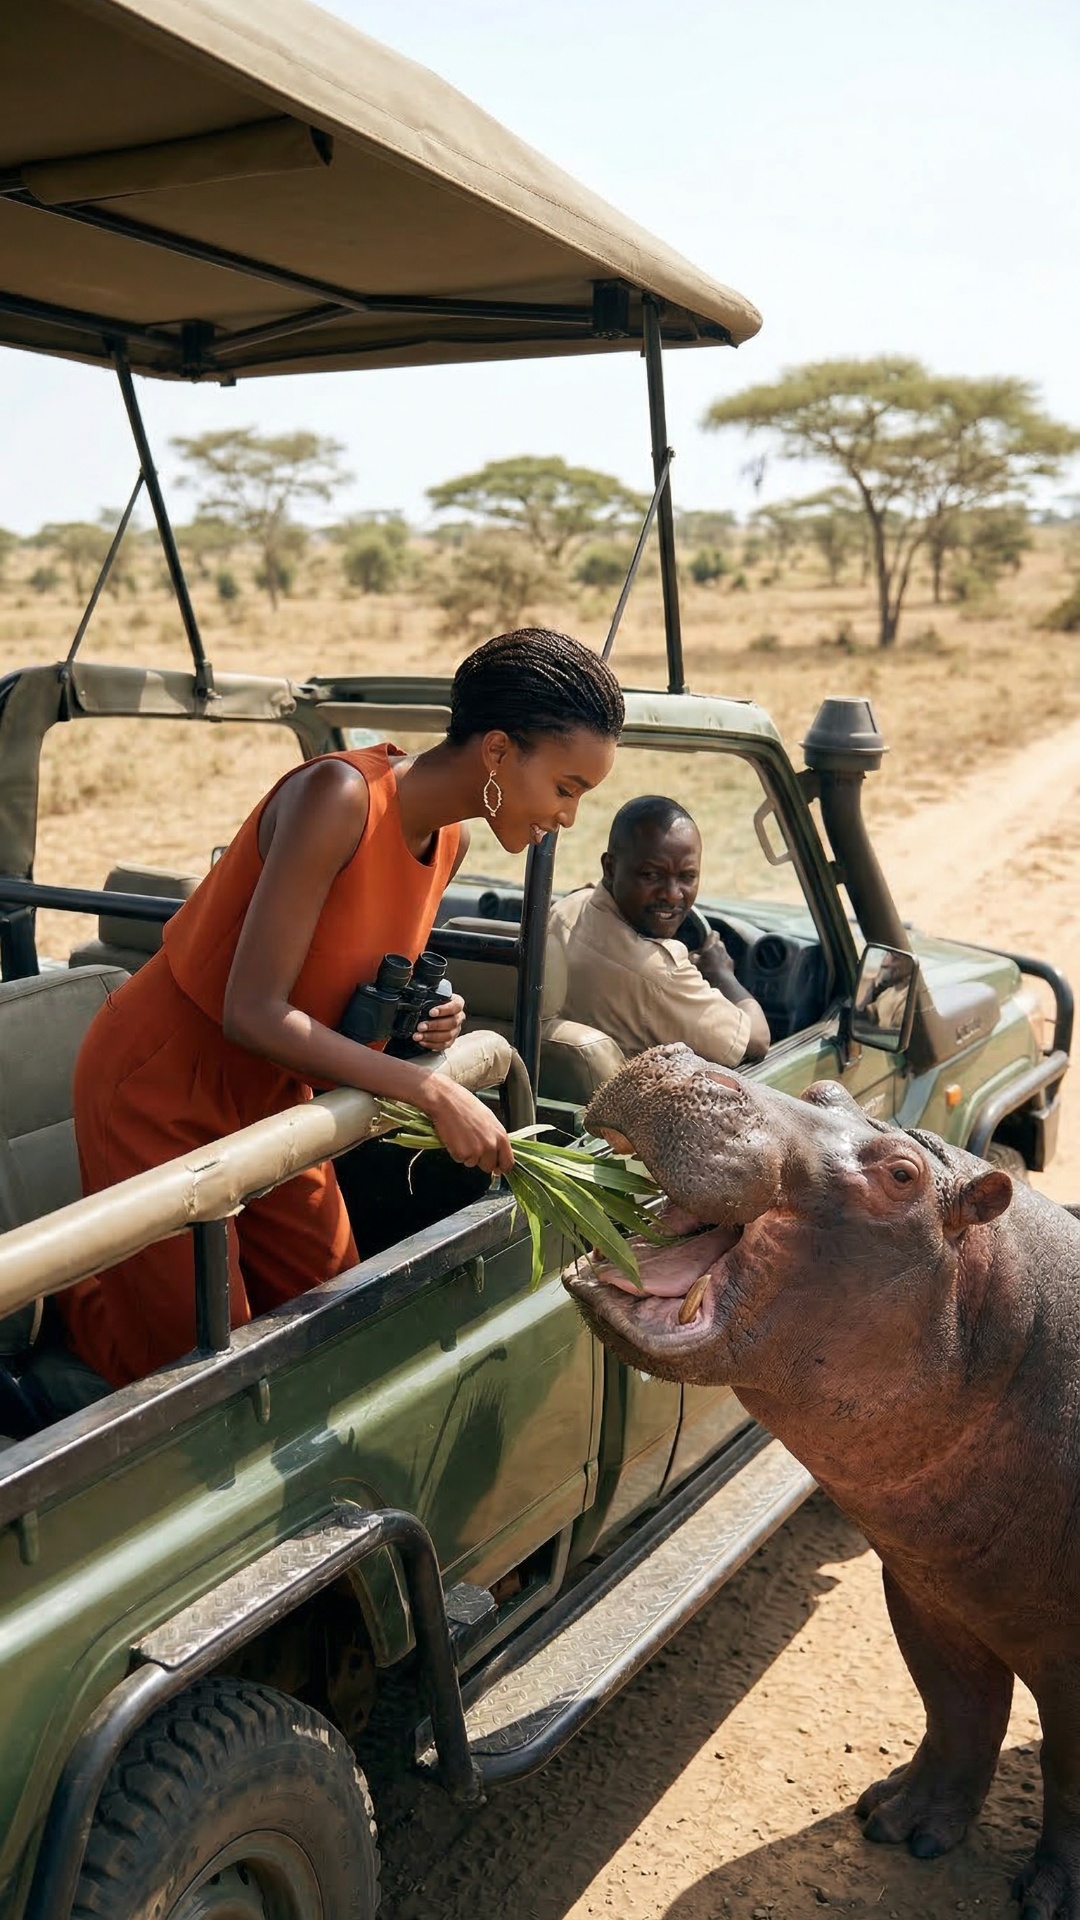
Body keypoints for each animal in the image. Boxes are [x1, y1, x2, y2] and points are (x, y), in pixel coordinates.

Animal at [564, 1043, 1080, 1918]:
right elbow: (957, 1706)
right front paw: (899, 1823)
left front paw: (1050, 1897)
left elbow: (1071, 1775)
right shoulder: (925, 1587)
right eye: (824, 1090)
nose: (687, 1062)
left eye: (903, 1174)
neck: (1011, 1322)